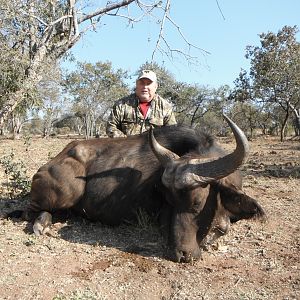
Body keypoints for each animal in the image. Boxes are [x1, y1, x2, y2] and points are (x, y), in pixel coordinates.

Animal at [11, 115, 264, 262]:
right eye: (169, 201)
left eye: (197, 203)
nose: (181, 254)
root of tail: (51, 162)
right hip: (64, 194)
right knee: (29, 212)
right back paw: (41, 225)